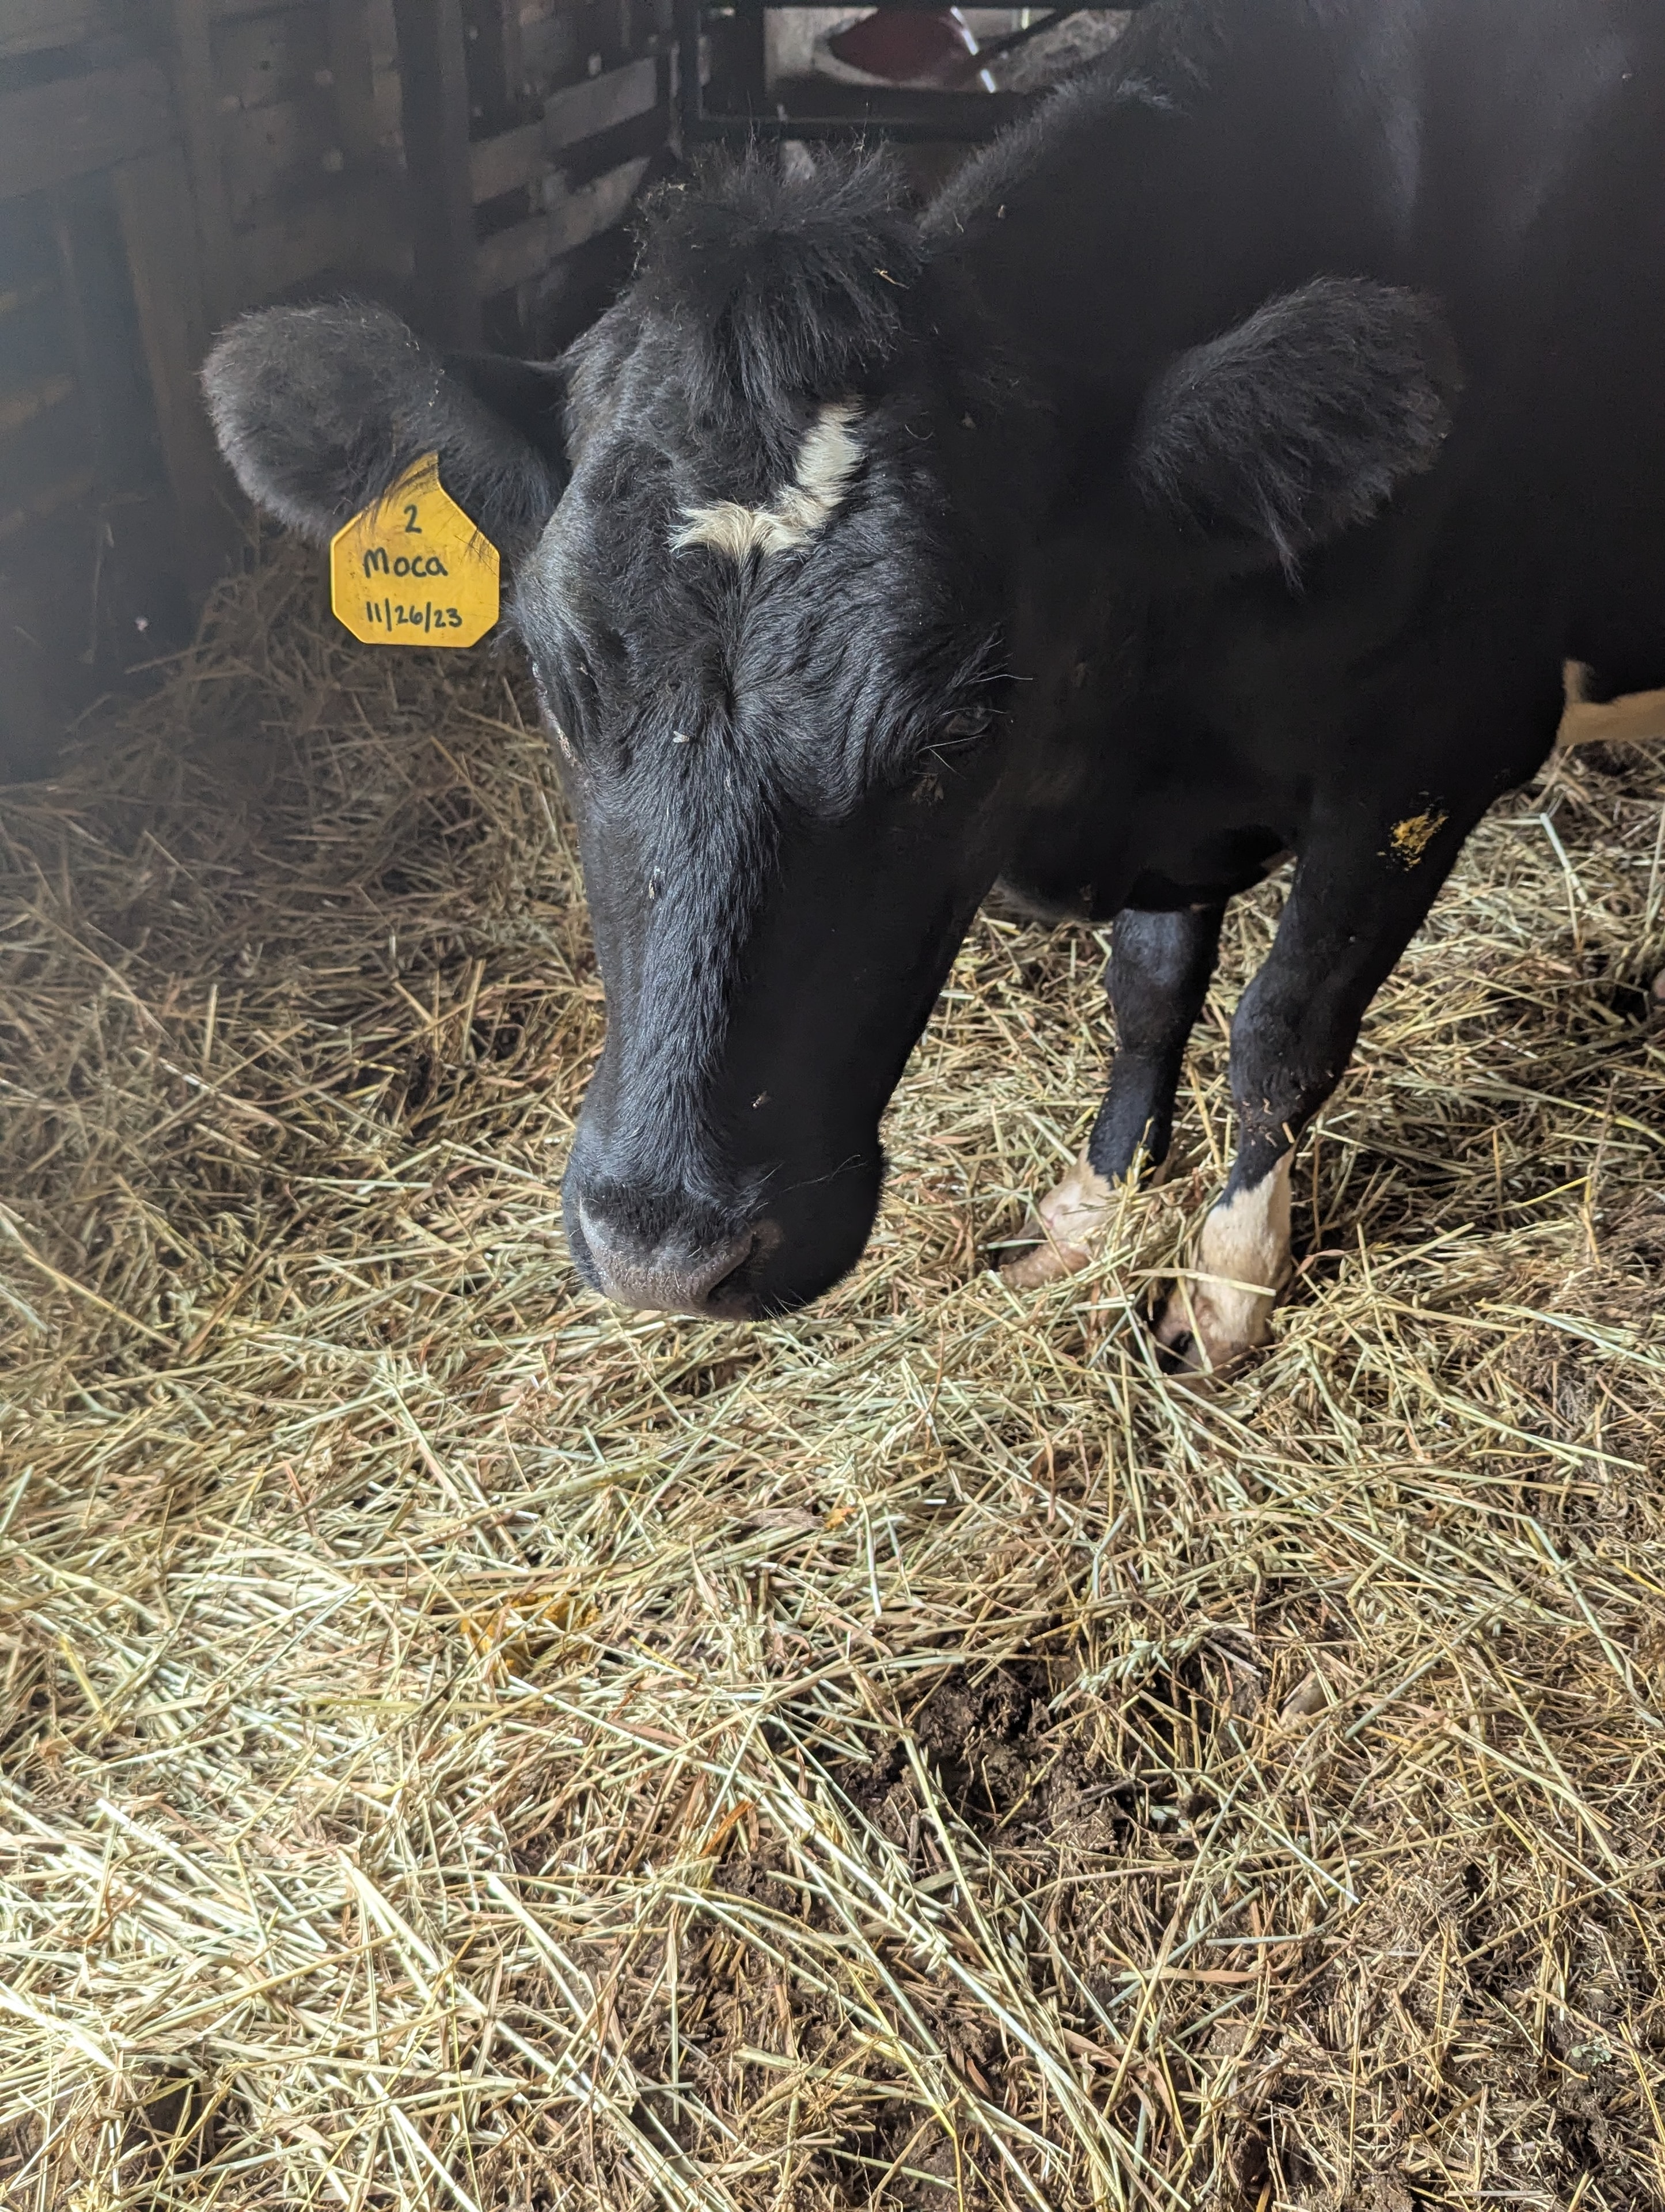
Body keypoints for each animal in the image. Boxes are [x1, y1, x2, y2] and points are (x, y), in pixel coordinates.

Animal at [203, 0, 1665, 1366]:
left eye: (961, 723)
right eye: (562, 684)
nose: (664, 1252)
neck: (1152, 756)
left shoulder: (1428, 756)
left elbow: (1281, 1033)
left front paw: (1224, 1289)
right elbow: (1148, 996)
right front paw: (1090, 1211)